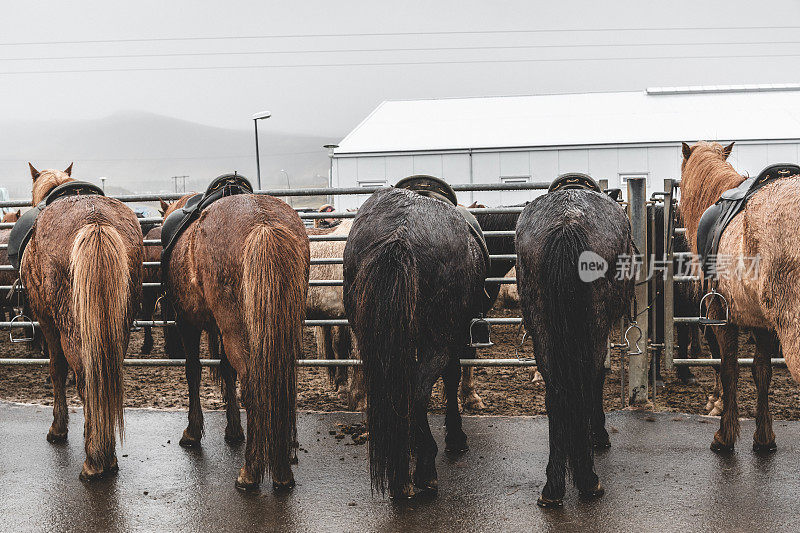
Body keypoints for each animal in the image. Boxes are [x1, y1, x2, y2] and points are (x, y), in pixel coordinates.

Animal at [21, 162, 143, 478]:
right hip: (118, 326)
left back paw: (96, 460)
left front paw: (58, 428)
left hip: (71, 328)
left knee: (87, 379)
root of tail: (94, 220)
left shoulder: (47, 322)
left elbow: (57, 370)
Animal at [162, 181, 310, 488]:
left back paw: (250, 472)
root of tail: (263, 223)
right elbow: (226, 371)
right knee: (279, 385)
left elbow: (193, 371)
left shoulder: (186, 322)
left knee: (253, 388)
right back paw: (281, 472)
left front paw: (192, 431)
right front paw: (233, 429)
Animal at [342, 181, 488, 496]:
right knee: (419, 390)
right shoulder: (456, 338)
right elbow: (451, 378)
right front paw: (455, 437)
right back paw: (424, 468)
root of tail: (400, 233)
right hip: (439, 342)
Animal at [512, 183, 636, 508]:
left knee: (556, 395)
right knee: (584, 382)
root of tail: (566, 224)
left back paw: (553, 486)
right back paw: (588, 479)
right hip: (593, 327)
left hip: (542, 328)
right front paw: (599, 434)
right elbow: (598, 378)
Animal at [680, 139, 800, 450]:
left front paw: (724, 434)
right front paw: (764, 437)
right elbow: (761, 371)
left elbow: (729, 367)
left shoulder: (720, 316)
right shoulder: (761, 323)